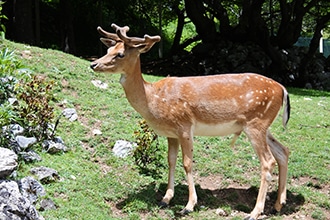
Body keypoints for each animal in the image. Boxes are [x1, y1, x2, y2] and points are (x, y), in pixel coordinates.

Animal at [89, 24, 288, 220]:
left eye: (120, 54)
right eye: (108, 49)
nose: (93, 64)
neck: (153, 98)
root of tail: (283, 89)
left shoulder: (184, 126)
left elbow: (187, 163)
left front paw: (189, 205)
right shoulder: (171, 133)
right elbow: (171, 160)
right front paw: (166, 198)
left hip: (256, 122)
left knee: (268, 161)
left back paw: (255, 212)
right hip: (264, 126)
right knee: (283, 151)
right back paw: (278, 205)